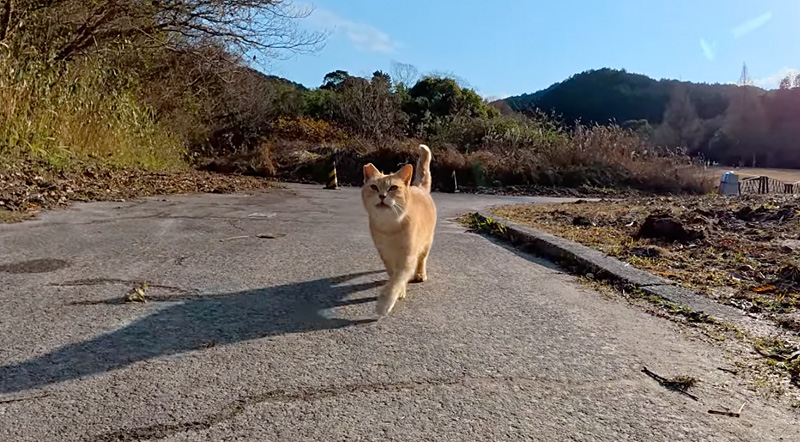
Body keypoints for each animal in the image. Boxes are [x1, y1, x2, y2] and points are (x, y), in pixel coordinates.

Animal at [362, 144, 438, 314]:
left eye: (393, 188)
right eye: (374, 187)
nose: (382, 196)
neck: (390, 227)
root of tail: (419, 188)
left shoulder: (407, 257)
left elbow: (396, 280)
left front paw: (385, 302)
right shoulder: (386, 254)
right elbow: (392, 275)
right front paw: (400, 291)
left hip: (427, 243)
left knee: (422, 259)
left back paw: (420, 274)